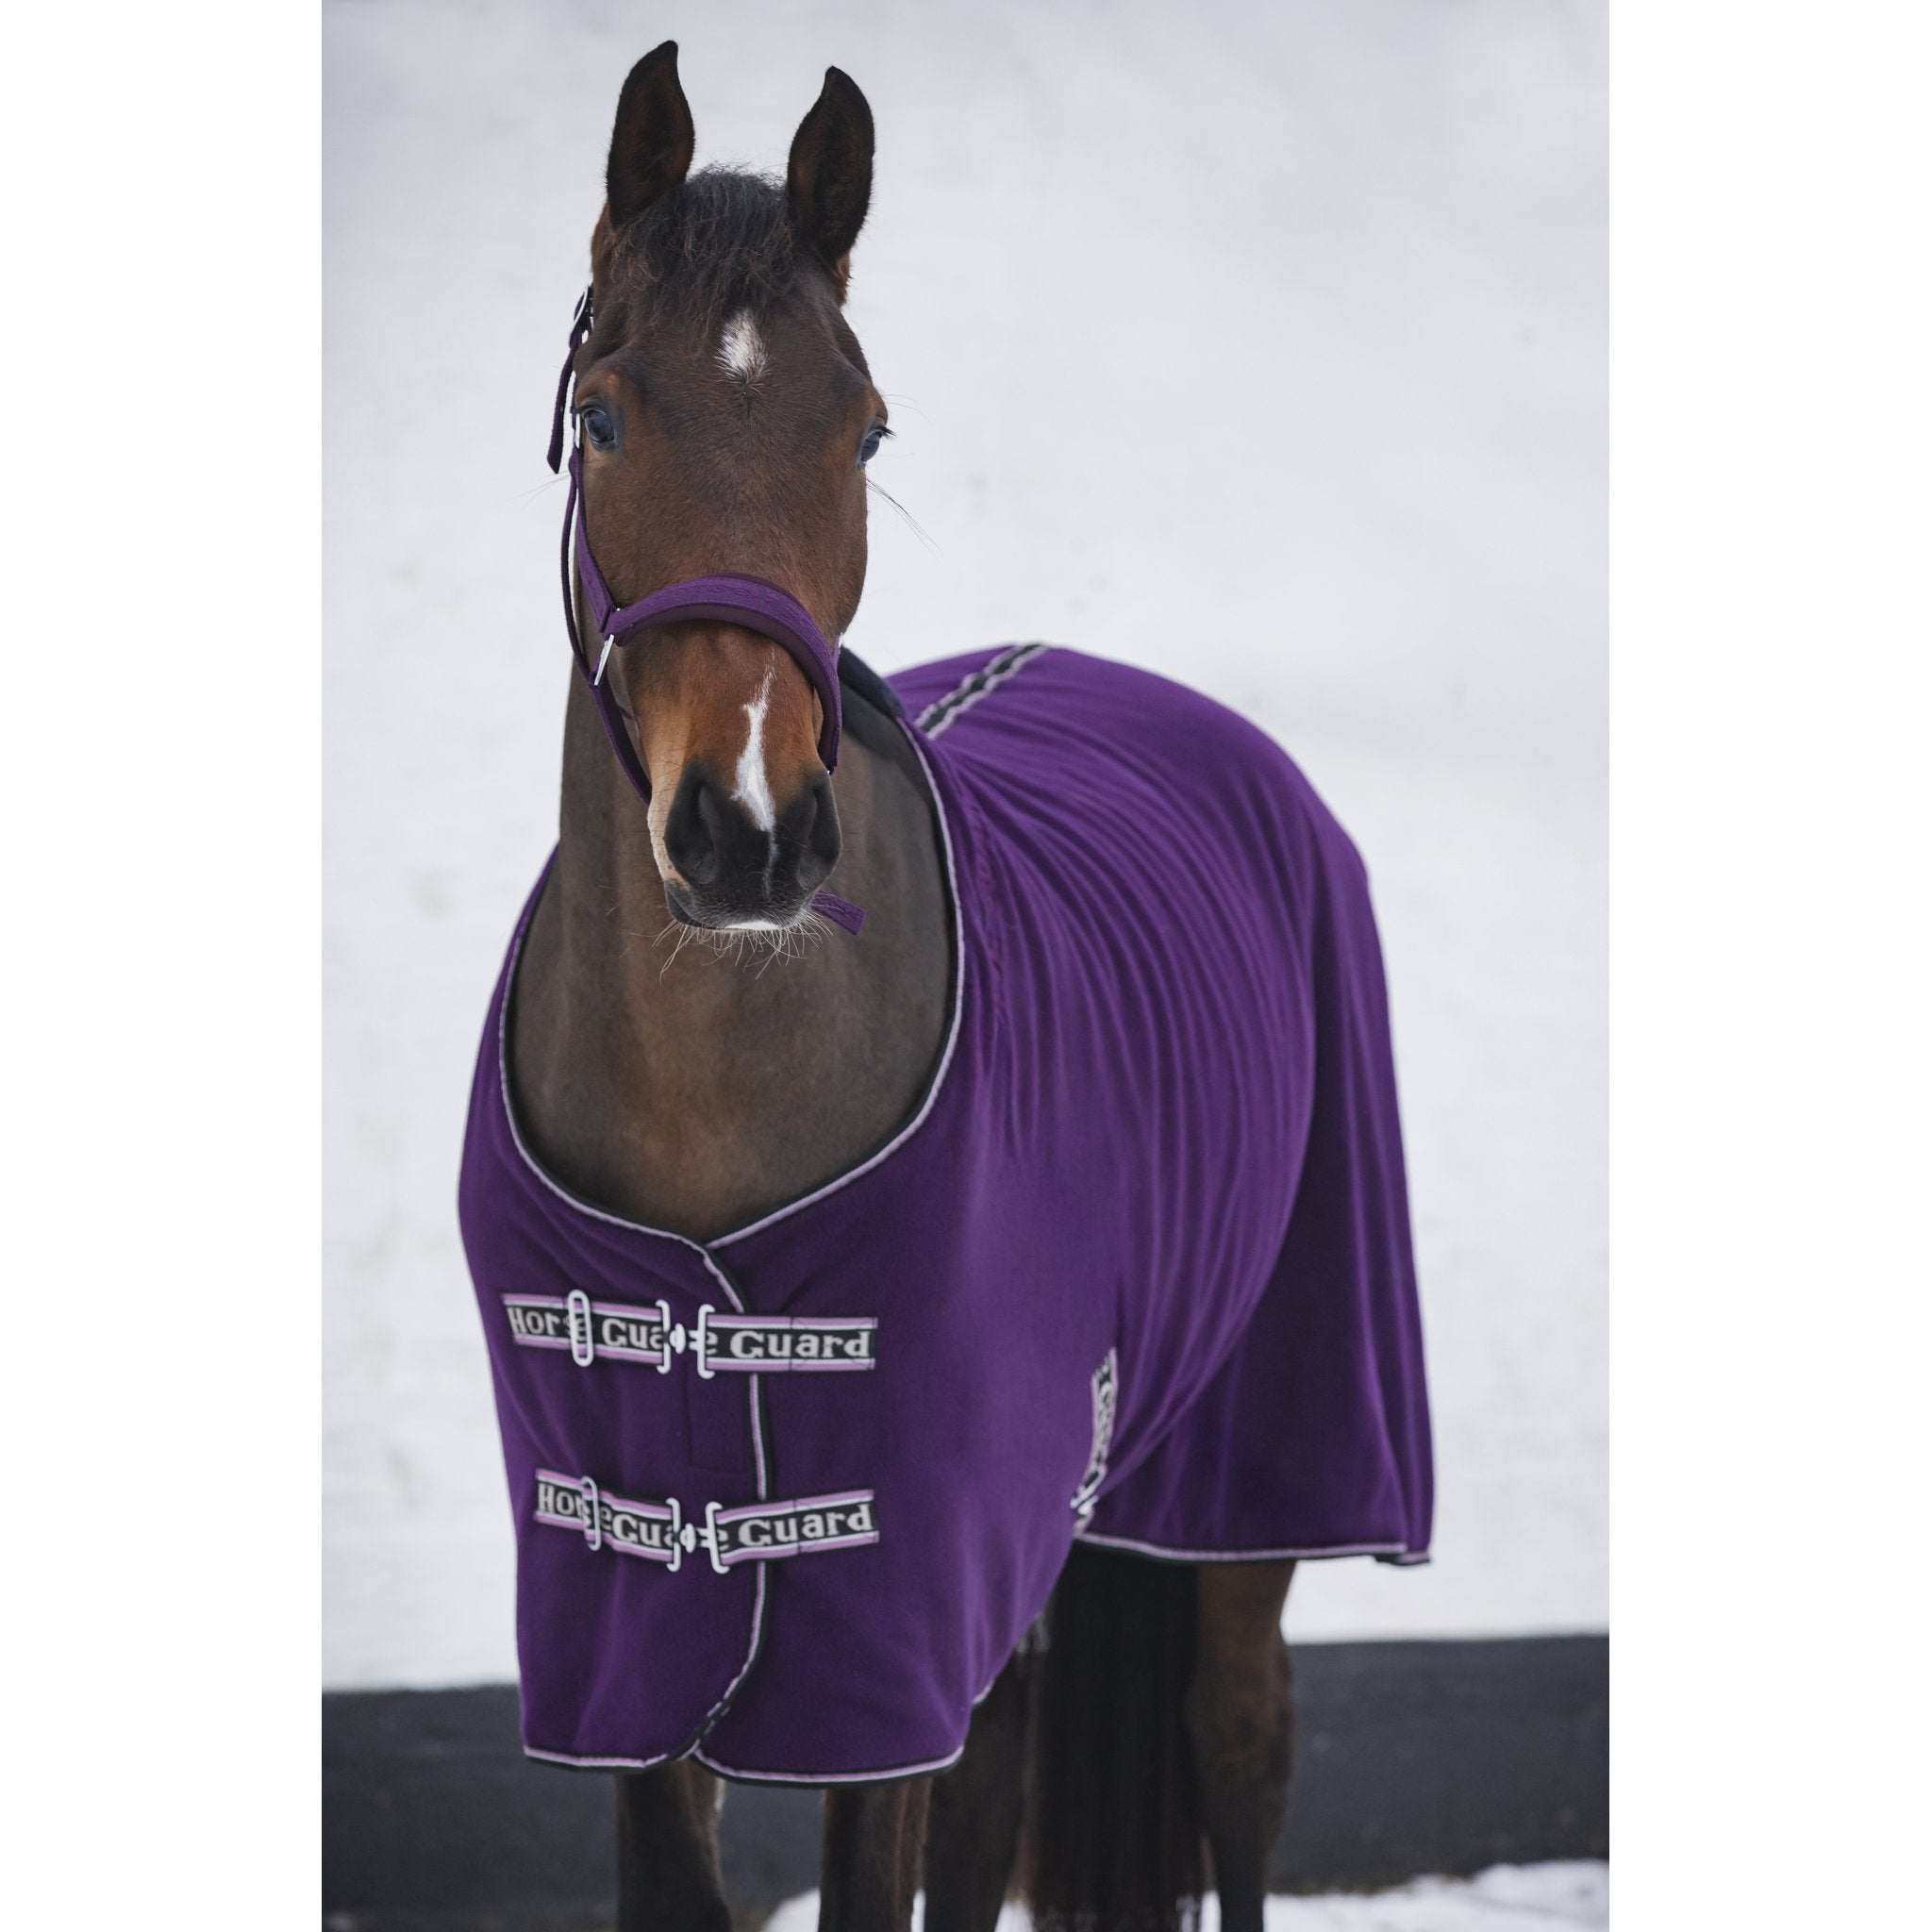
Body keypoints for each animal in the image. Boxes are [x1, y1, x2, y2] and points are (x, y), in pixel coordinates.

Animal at [462, 41, 1431, 1932]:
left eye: (865, 426)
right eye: (601, 413)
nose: (750, 829)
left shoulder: (883, 1625)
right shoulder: (632, 1625)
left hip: (1257, 1460)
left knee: (1239, 1748)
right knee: (999, 1800)